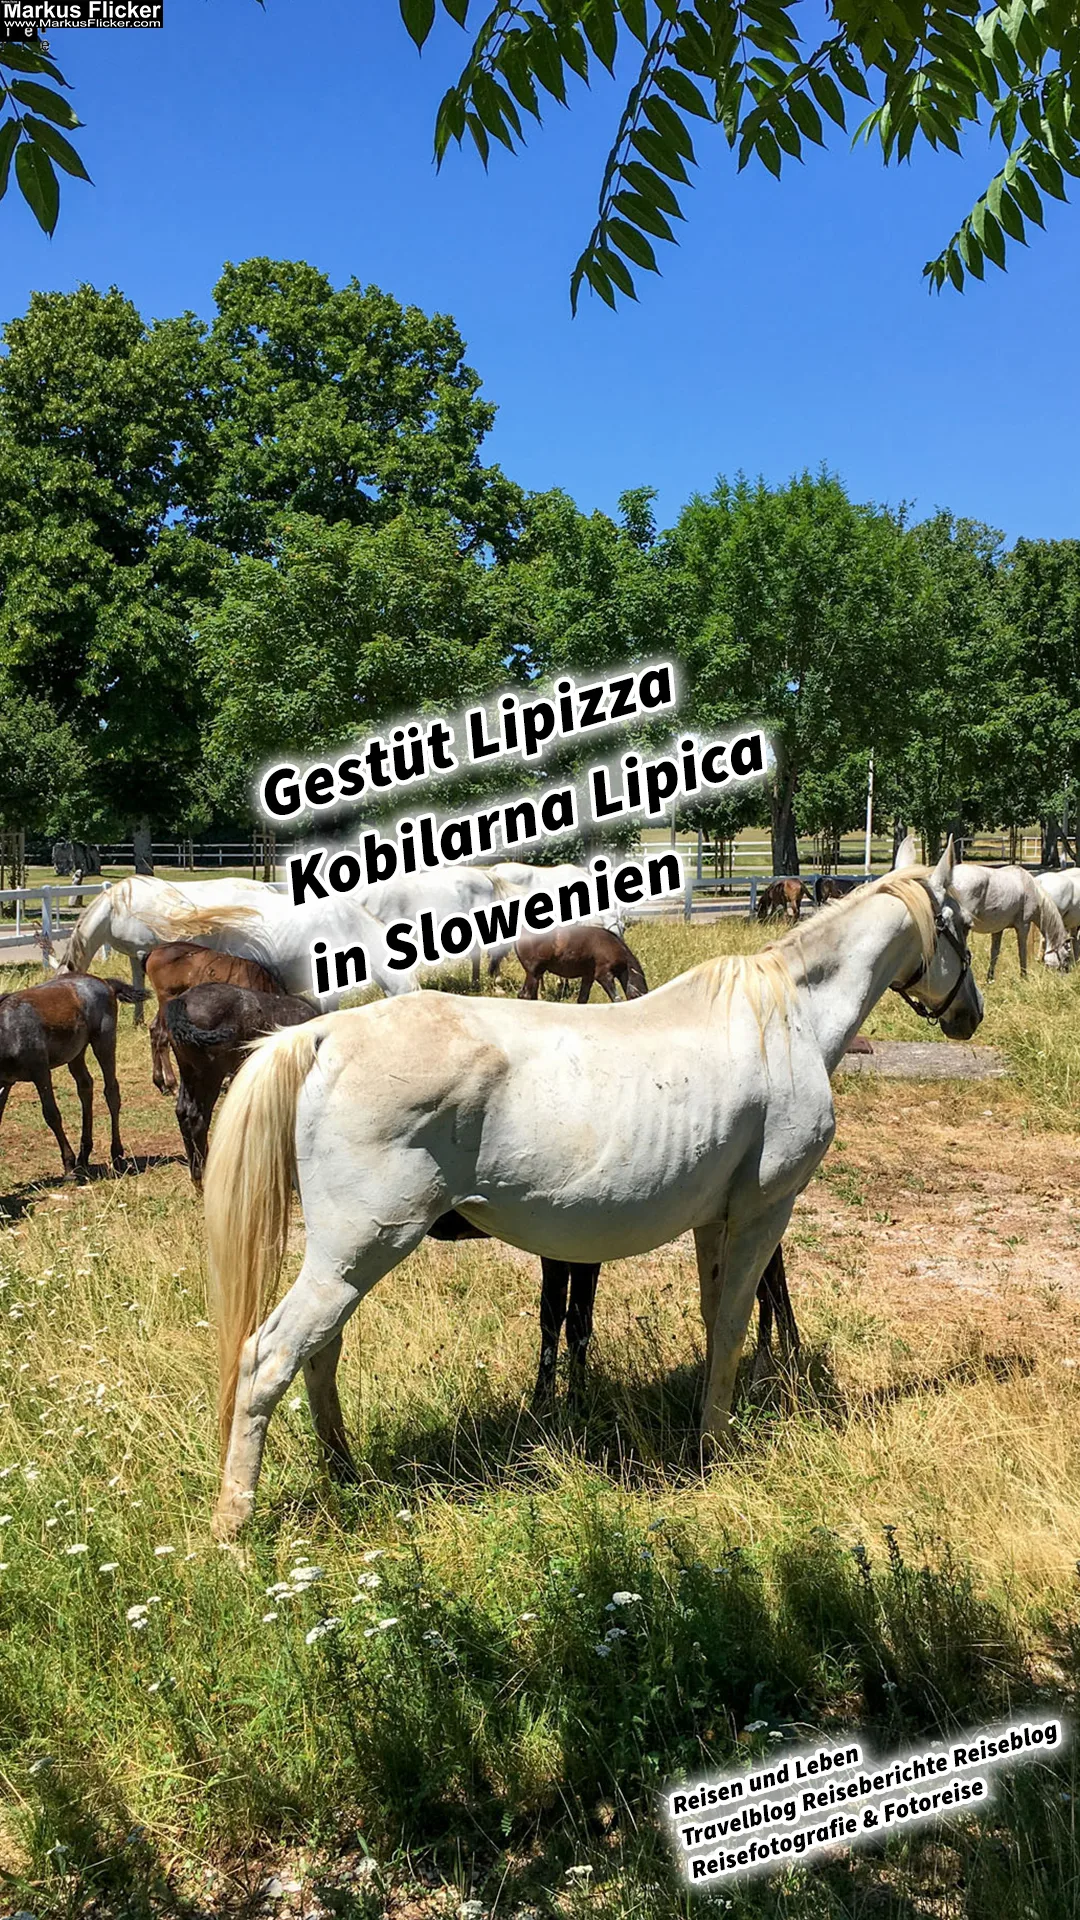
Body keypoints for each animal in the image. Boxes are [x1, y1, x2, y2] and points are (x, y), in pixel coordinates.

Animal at [0, 975, 145, 1178]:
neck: (7, 1030)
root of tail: (104, 982)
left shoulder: (41, 1073)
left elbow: (52, 1115)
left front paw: (68, 1165)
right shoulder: (6, 1082)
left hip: (104, 1043)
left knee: (111, 1092)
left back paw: (116, 1156)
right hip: (76, 1054)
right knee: (85, 1087)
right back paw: (84, 1155)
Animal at [516, 924, 648, 1003]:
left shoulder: (588, 977)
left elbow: (582, 999)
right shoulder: (604, 975)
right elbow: (616, 999)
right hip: (534, 973)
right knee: (526, 995)